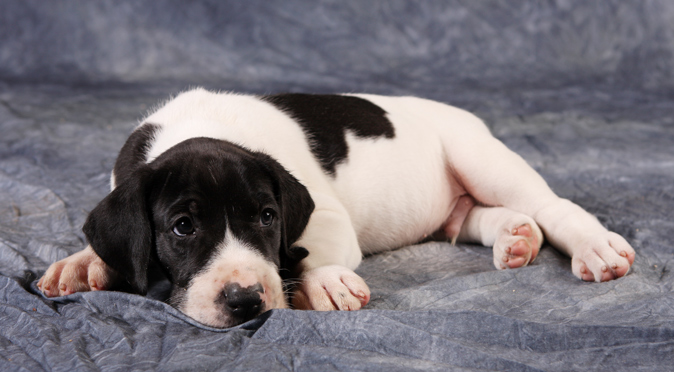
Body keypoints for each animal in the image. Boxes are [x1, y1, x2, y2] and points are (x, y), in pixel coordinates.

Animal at [38, 90, 636, 328]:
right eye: (182, 227)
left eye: (267, 217)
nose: (246, 299)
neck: (199, 129)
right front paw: (83, 262)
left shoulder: (322, 215)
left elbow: (308, 247)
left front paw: (322, 280)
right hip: (460, 208)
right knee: (474, 217)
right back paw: (515, 236)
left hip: (480, 155)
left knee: (553, 205)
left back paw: (593, 246)